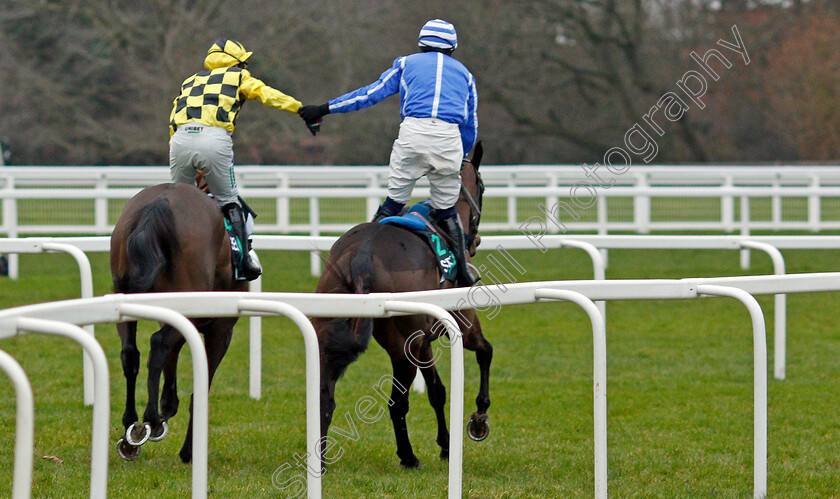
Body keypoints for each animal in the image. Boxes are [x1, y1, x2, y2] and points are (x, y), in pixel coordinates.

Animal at [110, 184, 244, 464]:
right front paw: (188, 449)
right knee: (157, 343)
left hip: (124, 296)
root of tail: (157, 205)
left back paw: (132, 427)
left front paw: (167, 408)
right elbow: (198, 389)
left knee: (131, 353)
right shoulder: (221, 330)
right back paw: (149, 421)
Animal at [314, 143, 492, 470]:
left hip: (330, 330)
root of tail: (362, 255)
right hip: (402, 346)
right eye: (483, 187)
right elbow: (485, 351)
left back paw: (320, 458)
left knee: (324, 395)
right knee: (397, 402)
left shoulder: (425, 342)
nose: (475, 241)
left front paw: (446, 444)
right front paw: (478, 419)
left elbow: (437, 391)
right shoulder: (463, 321)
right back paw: (408, 456)